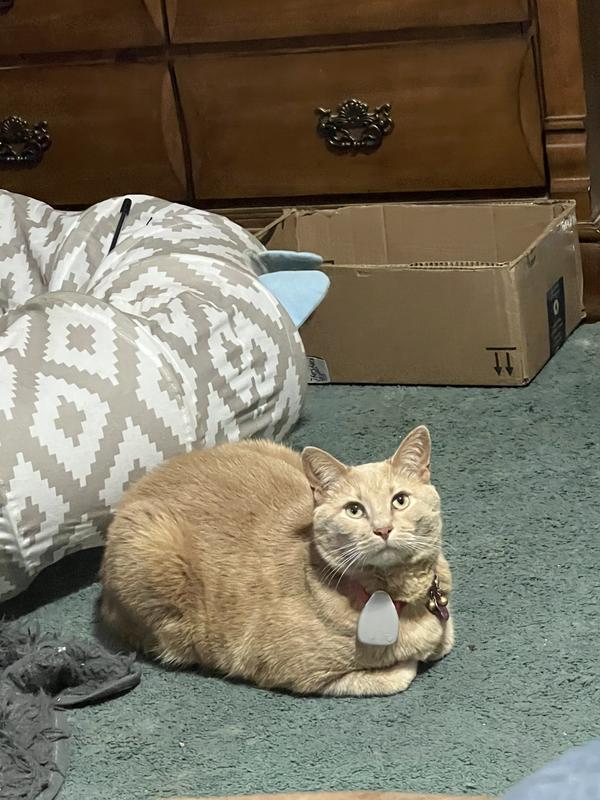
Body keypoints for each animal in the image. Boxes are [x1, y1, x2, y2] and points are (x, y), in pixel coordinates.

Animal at [100, 426, 453, 696]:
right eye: (354, 510)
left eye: (400, 500)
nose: (383, 528)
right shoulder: (302, 674)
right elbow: (400, 672)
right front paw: (409, 659)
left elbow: (445, 638)